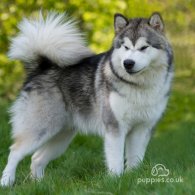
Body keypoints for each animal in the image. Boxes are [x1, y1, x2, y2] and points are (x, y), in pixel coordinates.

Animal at [0, 11, 174, 186]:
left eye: (144, 47)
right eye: (125, 47)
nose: (128, 63)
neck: (138, 86)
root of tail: (42, 67)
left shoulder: (142, 128)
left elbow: (135, 159)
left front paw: (133, 177)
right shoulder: (114, 127)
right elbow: (116, 160)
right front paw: (116, 180)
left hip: (61, 136)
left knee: (36, 158)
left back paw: (40, 184)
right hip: (40, 128)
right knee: (14, 152)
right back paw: (7, 181)